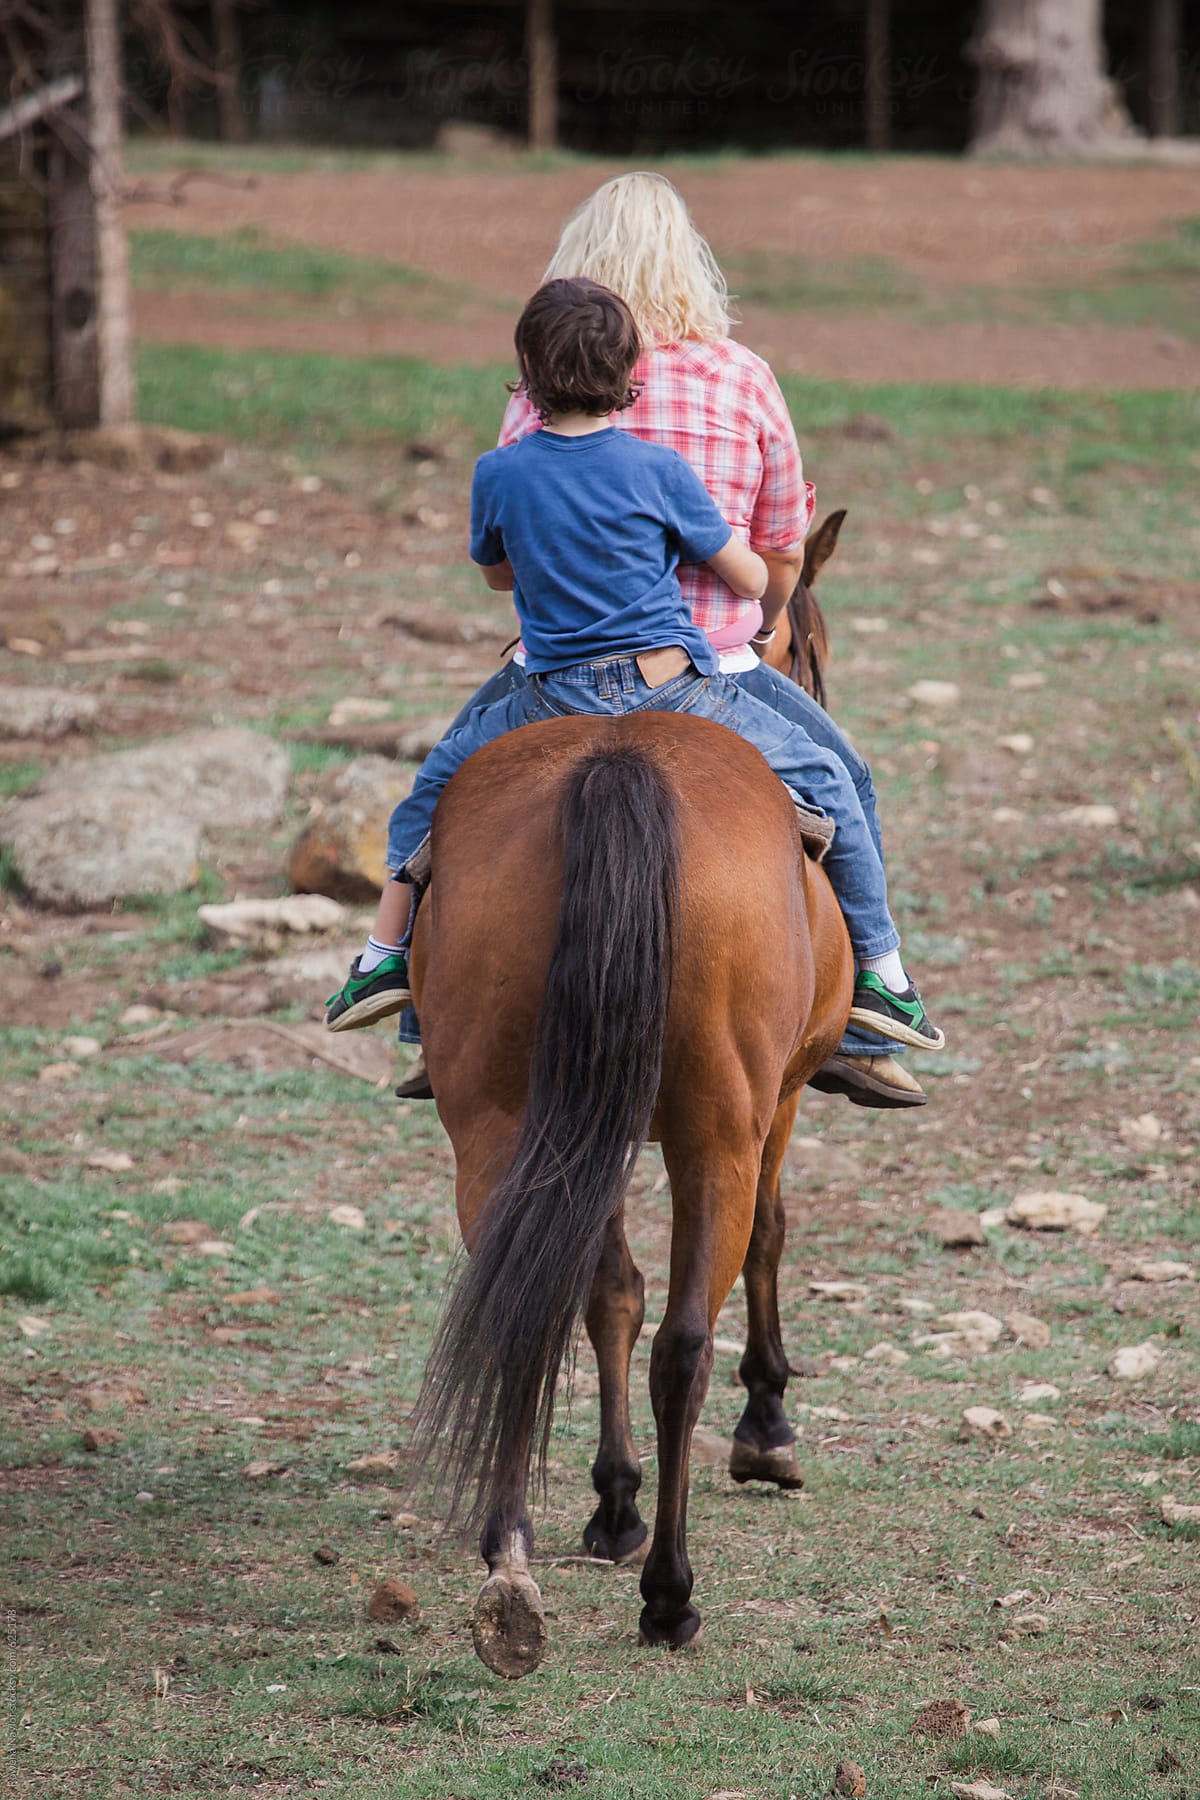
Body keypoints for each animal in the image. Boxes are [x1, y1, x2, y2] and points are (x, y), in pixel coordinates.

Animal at [410, 698, 852, 1670]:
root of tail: (618, 760)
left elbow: (609, 1292)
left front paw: (614, 1501)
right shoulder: (780, 1101)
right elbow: (768, 1238)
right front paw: (767, 1429)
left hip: (505, 1123)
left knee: (524, 1310)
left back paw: (511, 1574)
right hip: (719, 1133)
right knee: (684, 1345)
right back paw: (669, 1597)